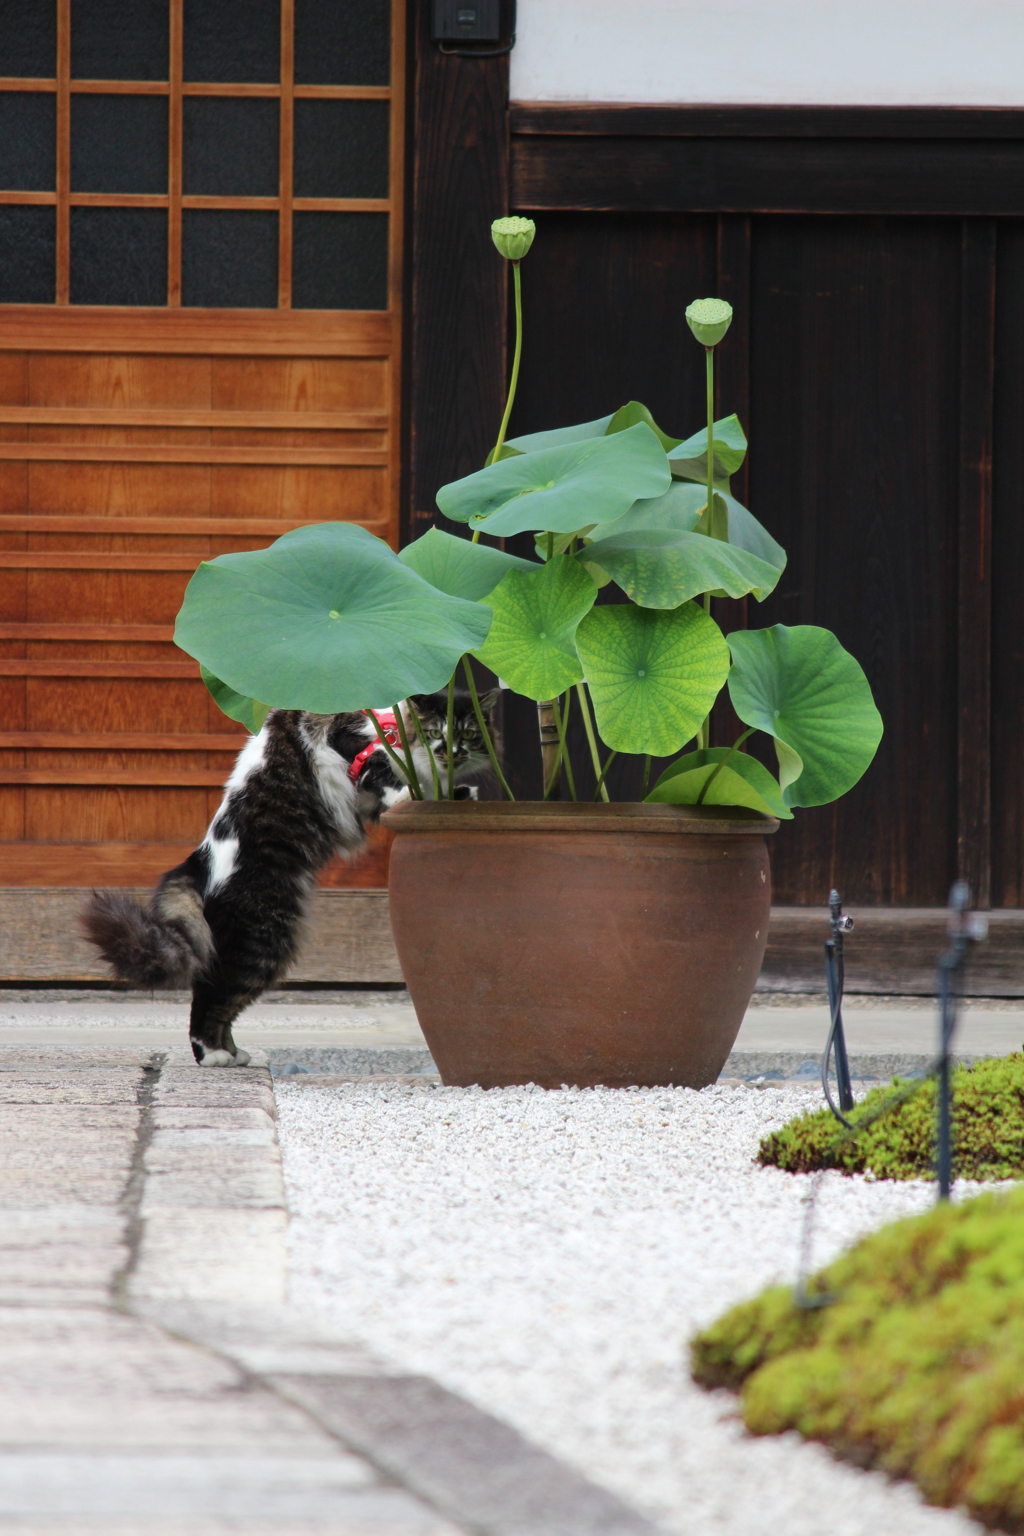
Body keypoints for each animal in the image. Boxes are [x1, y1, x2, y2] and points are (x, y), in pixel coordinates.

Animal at [80, 697, 497, 1069]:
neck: (393, 725)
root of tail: (199, 860)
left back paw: (234, 1054)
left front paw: (458, 794)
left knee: (223, 1001)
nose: (453, 752)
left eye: (471, 733)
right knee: (209, 996)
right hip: (261, 942)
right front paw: (418, 791)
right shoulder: (353, 747)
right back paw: (212, 1056)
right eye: (437, 731)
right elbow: (391, 781)